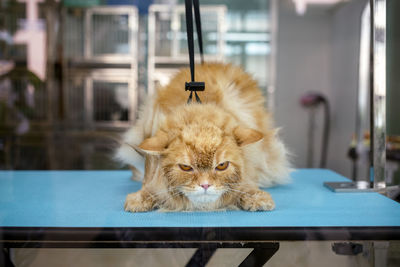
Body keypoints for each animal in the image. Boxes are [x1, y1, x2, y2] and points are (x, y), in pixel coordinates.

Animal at [114, 62, 290, 211]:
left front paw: (256, 197)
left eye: (222, 166)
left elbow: (247, 183)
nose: (205, 185)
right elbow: (150, 182)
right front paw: (141, 198)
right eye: (186, 167)